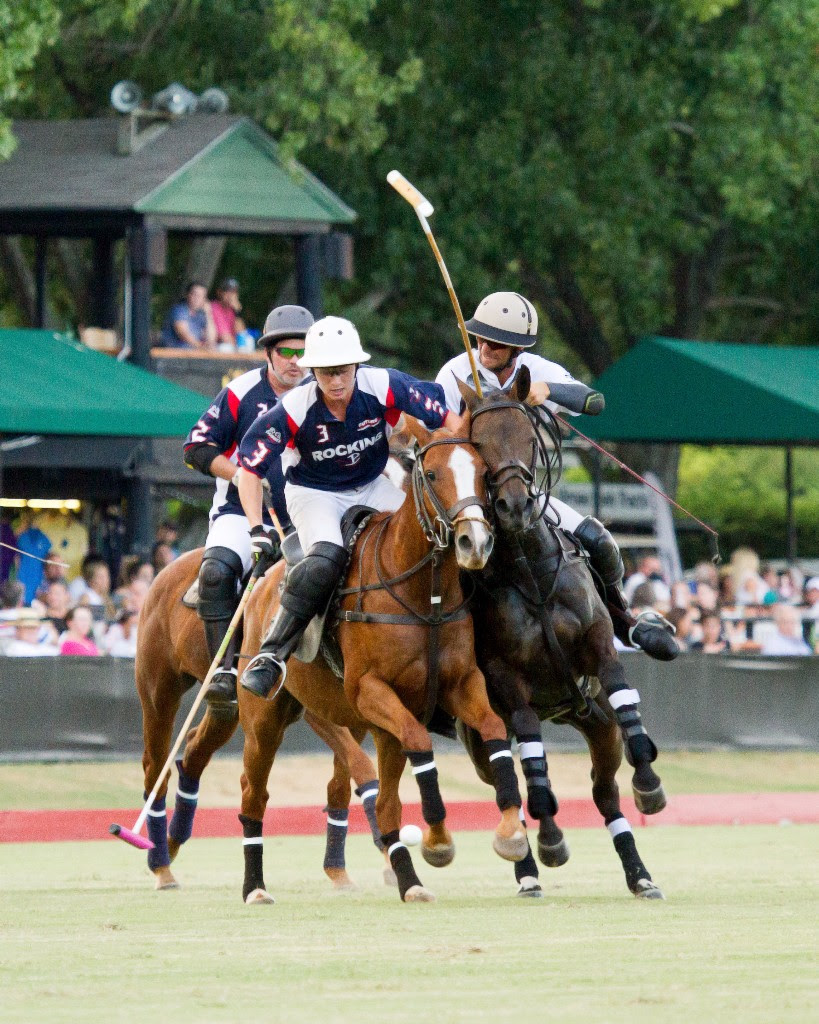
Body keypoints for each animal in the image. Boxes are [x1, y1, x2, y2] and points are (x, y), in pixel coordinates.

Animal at [134, 548, 386, 892]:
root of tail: (165, 572)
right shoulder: (316, 711)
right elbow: (361, 766)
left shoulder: (356, 714)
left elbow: (341, 783)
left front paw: (338, 870)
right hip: (159, 690)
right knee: (156, 767)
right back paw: (161, 864)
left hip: (229, 708)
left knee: (195, 749)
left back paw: (172, 843)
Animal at [239, 419, 528, 901]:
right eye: (430, 474)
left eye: (483, 473)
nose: (474, 542)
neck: (424, 595)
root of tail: (266, 583)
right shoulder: (369, 690)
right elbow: (420, 740)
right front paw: (438, 840)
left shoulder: (459, 683)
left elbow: (491, 728)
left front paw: (511, 833)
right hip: (265, 719)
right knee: (253, 794)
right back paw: (255, 887)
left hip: (372, 727)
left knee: (387, 803)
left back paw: (410, 883)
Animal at [454, 372, 663, 901]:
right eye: (477, 445)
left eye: (530, 439)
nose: (513, 507)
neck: (529, 567)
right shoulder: (505, 677)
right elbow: (532, 760)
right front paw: (550, 840)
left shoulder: (599, 643)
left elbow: (624, 694)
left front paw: (649, 782)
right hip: (479, 736)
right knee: (507, 790)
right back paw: (528, 871)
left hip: (596, 720)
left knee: (604, 792)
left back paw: (640, 874)